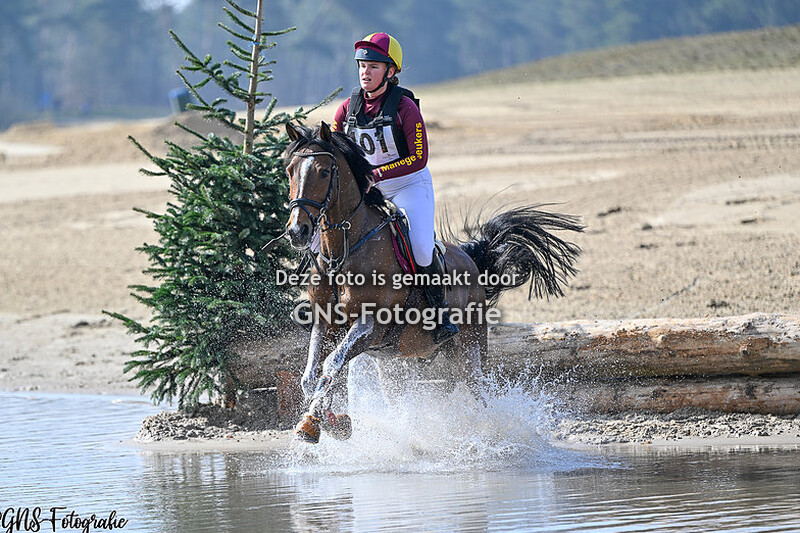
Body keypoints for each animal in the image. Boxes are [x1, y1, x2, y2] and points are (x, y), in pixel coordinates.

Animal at [283, 121, 582, 443]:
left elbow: (331, 364)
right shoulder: (325, 322)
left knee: (481, 395)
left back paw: (492, 436)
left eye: (324, 172)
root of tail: (469, 257)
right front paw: (330, 422)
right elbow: (313, 375)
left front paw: (314, 423)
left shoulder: (371, 324)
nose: (297, 231)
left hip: (469, 351)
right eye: (290, 170)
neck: (342, 252)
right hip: (400, 362)